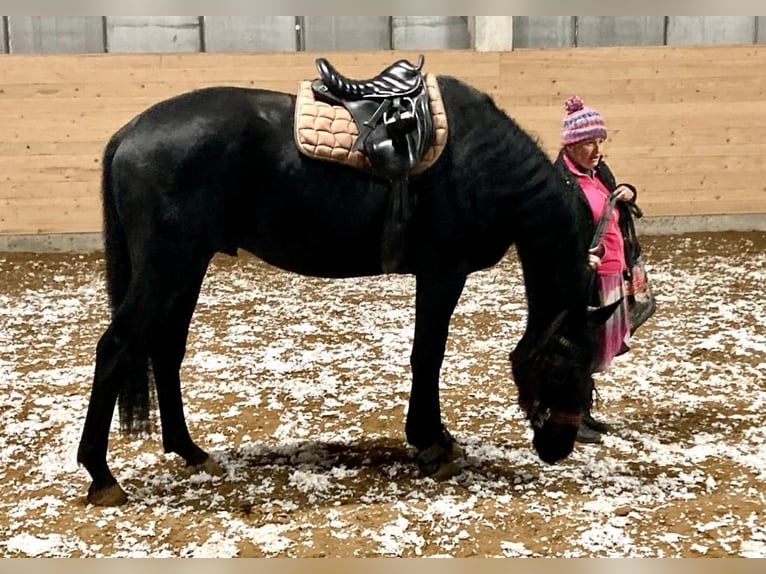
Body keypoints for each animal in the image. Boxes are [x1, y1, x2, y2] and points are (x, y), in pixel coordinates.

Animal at [78, 71, 616, 504]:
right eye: (569, 364)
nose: (559, 447)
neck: (479, 162)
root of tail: (130, 133)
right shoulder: (443, 271)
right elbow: (429, 354)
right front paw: (433, 442)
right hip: (167, 267)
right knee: (117, 347)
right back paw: (101, 476)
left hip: (186, 267)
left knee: (166, 350)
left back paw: (190, 450)